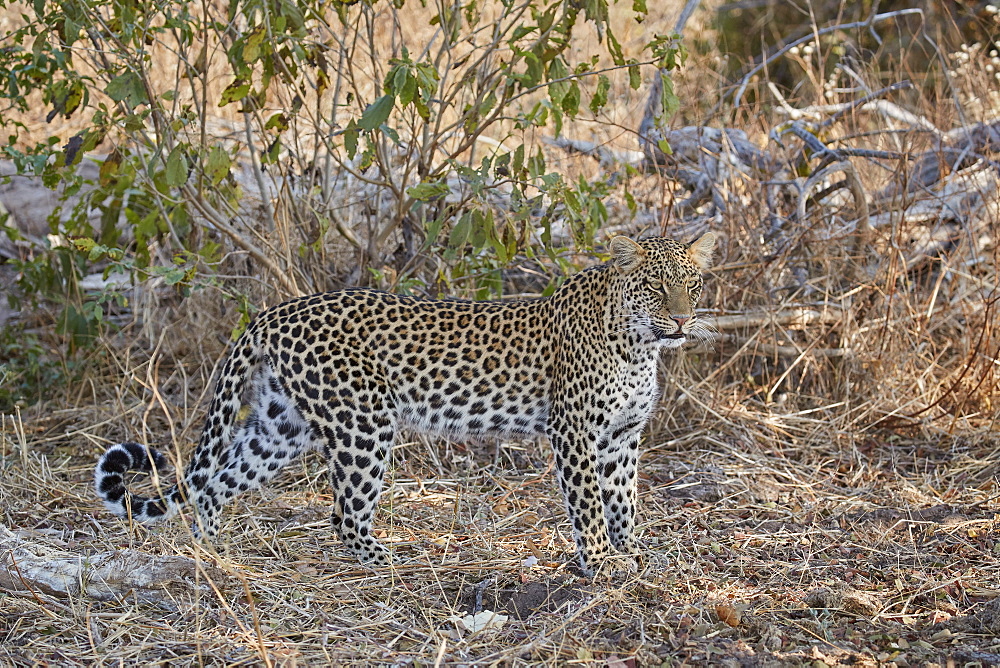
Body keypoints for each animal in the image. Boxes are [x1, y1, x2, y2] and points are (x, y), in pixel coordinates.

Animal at [97, 231, 716, 576]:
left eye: (693, 285)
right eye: (656, 287)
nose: (684, 321)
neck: (640, 347)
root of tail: (273, 312)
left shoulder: (621, 437)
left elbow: (623, 500)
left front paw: (633, 552)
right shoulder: (576, 434)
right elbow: (589, 503)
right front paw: (604, 563)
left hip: (280, 426)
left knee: (214, 482)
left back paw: (214, 555)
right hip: (363, 422)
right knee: (342, 514)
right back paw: (388, 558)